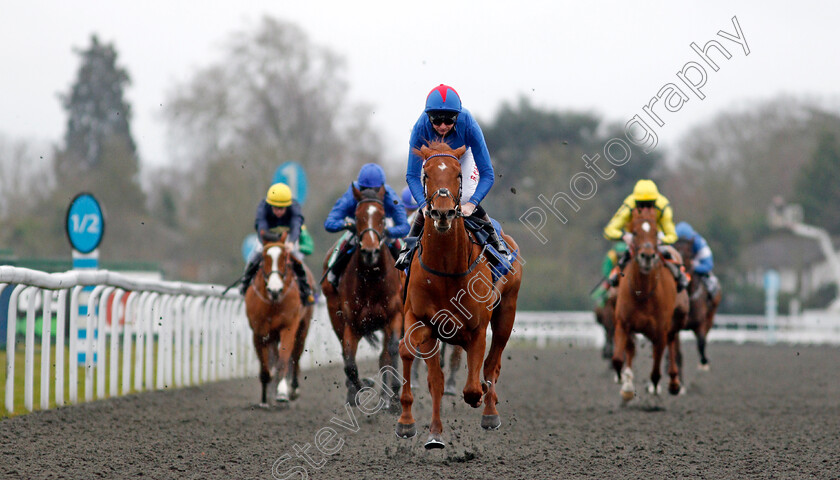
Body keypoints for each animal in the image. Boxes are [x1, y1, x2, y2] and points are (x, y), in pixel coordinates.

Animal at [249, 234, 318, 406]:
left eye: (285, 258)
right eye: (264, 258)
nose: (275, 289)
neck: (273, 303)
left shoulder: (288, 327)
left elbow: (283, 361)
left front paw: (281, 393)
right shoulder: (258, 332)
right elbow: (265, 368)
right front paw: (264, 398)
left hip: (302, 328)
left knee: (295, 357)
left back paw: (292, 389)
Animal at [322, 184, 404, 408]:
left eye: (382, 216)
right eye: (357, 217)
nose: (370, 251)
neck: (372, 278)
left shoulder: (395, 316)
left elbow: (392, 351)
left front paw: (394, 398)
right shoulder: (352, 325)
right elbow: (350, 363)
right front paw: (361, 388)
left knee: (385, 356)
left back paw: (387, 397)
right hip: (335, 316)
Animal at [398, 141, 520, 448]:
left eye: (458, 175)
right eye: (426, 174)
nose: (443, 213)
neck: (445, 270)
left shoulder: (477, 328)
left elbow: (474, 385)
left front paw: (481, 400)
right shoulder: (420, 320)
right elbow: (417, 362)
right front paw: (411, 424)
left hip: (506, 314)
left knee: (492, 364)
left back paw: (490, 412)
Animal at [612, 210, 688, 402]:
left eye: (655, 233)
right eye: (635, 232)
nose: (647, 256)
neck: (642, 293)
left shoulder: (660, 330)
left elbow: (655, 371)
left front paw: (655, 387)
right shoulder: (623, 323)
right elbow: (618, 359)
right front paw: (624, 383)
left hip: (677, 318)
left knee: (671, 343)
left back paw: (674, 383)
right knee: (632, 350)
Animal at [668, 240, 720, 372]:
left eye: (689, 254)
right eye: (675, 251)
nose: (681, 271)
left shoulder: (700, 323)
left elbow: (701, 343)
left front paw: (704, 363)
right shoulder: (675, 327)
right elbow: (677, 354)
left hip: (711, 316)